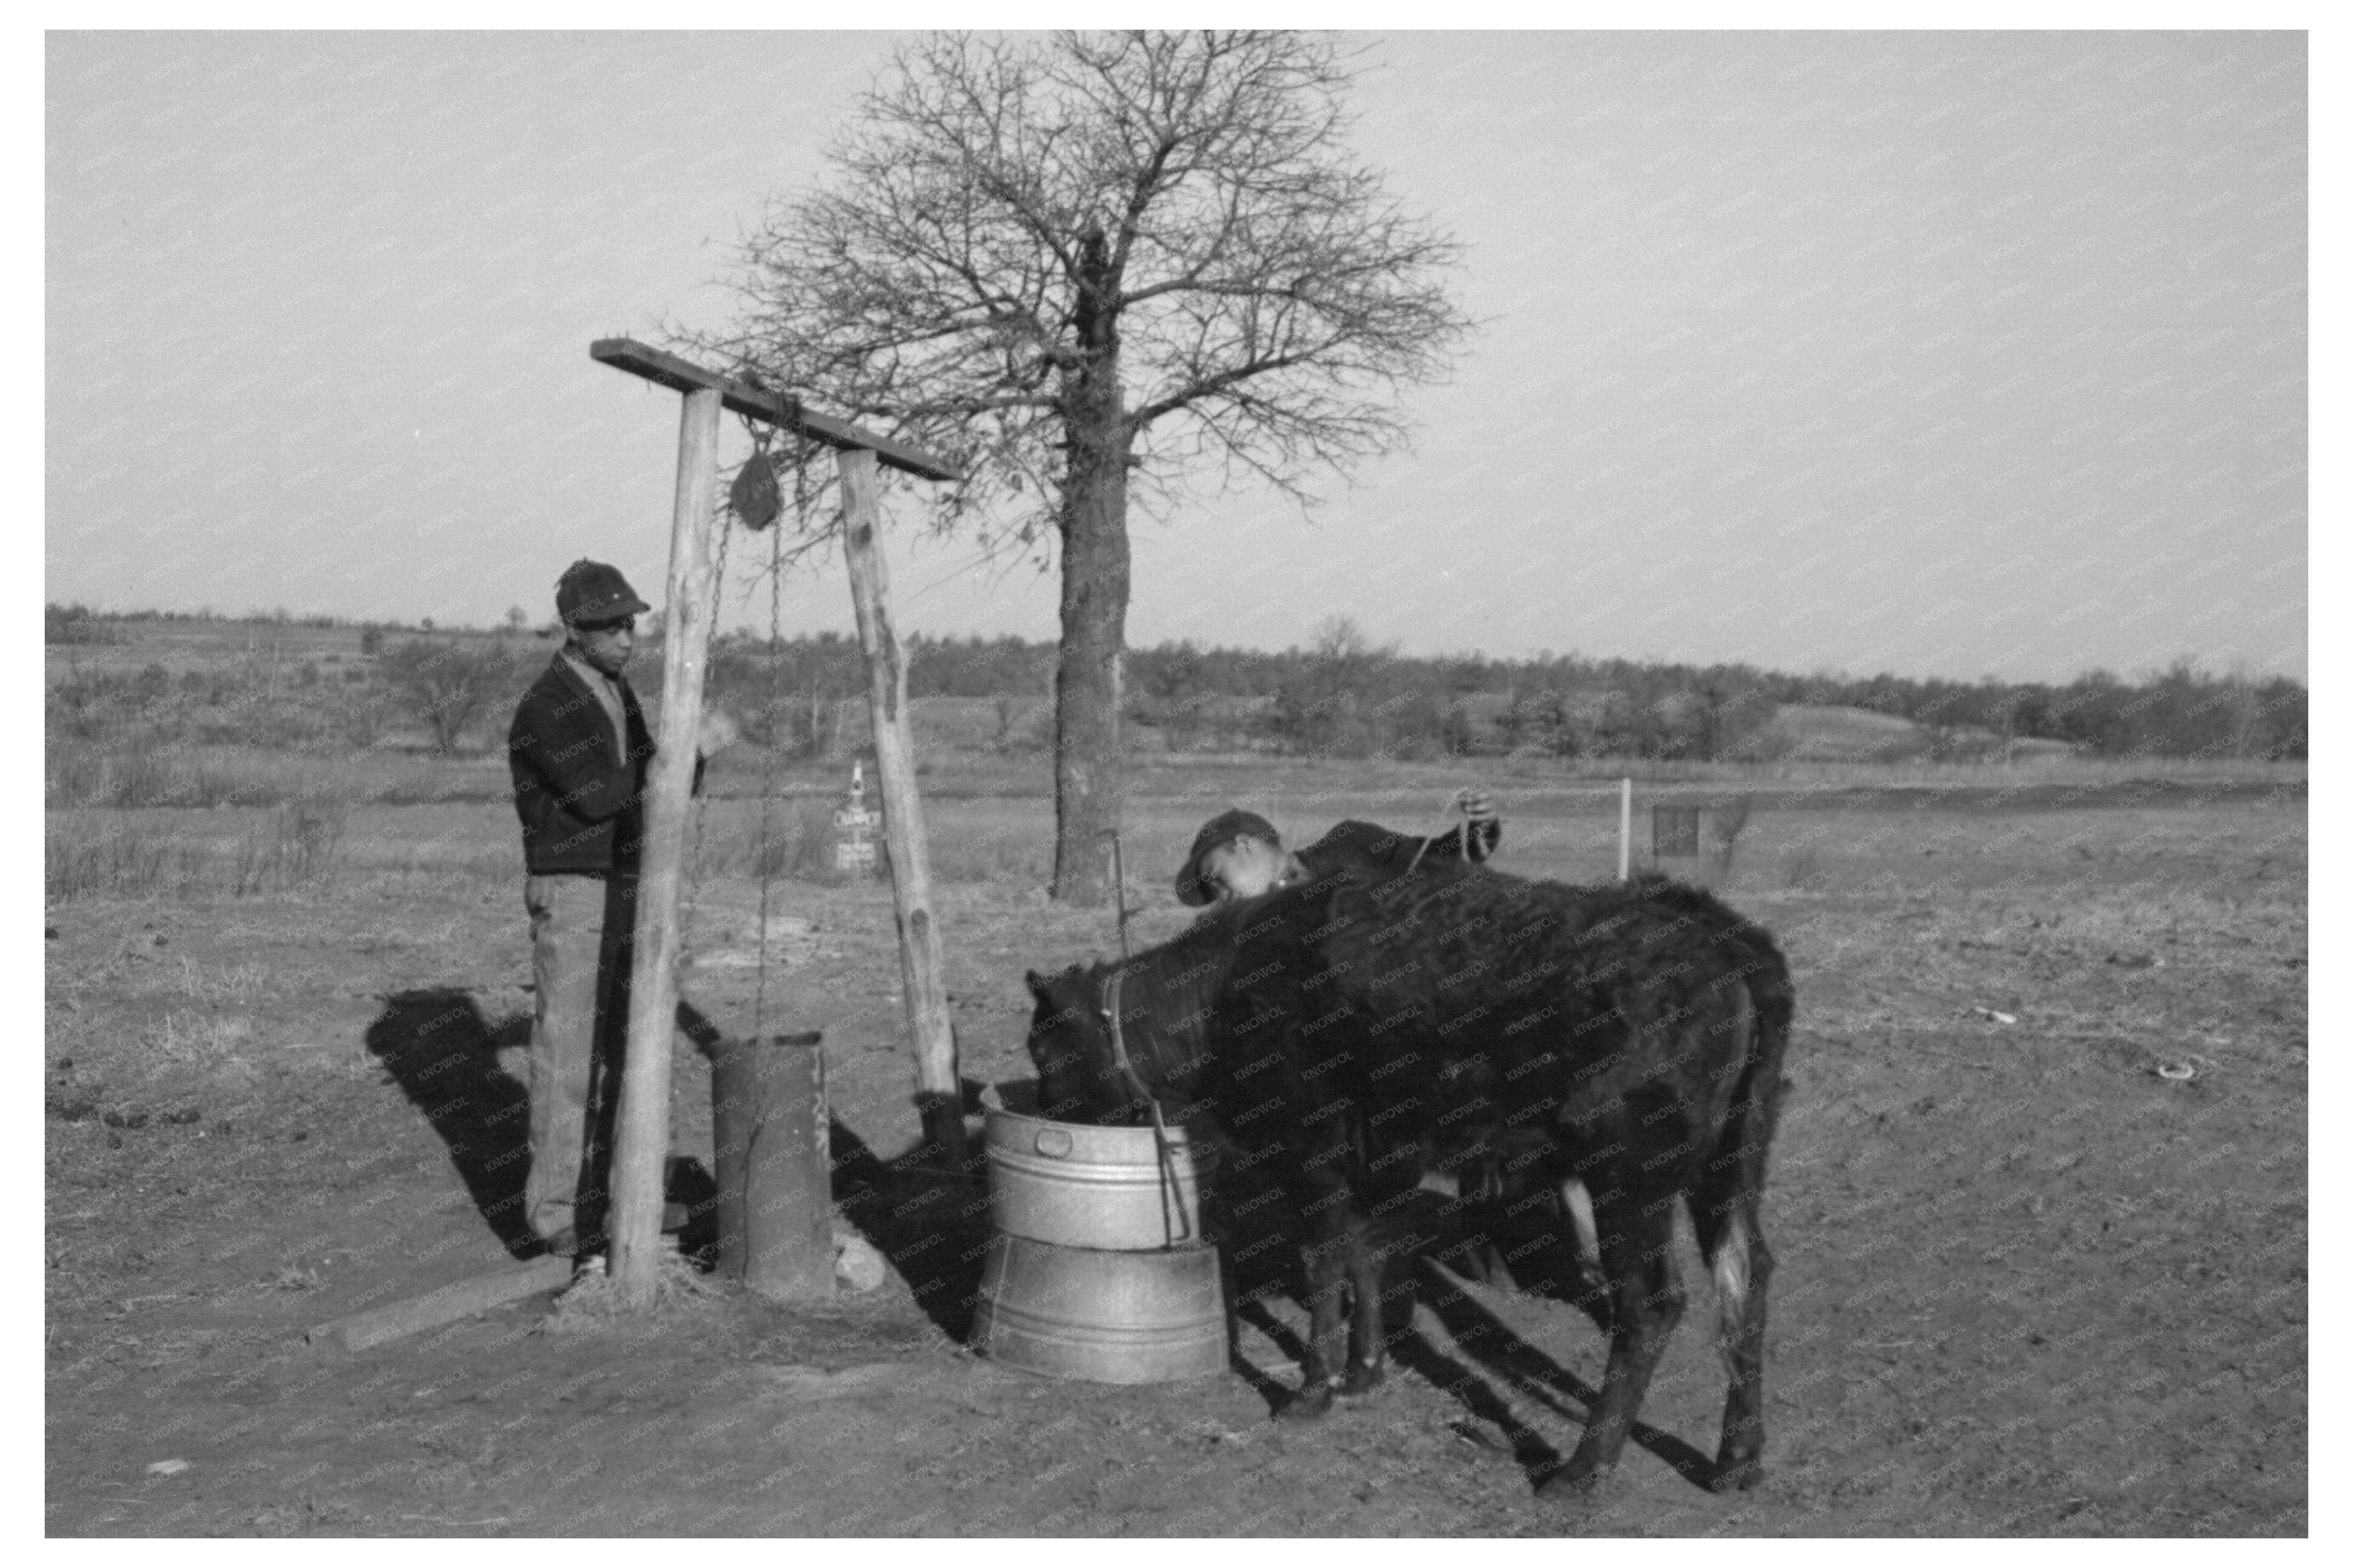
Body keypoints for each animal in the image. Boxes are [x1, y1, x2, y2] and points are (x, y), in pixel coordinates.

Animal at [1024, 868, 1792, 1496]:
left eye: (1043, 1048)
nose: (1048, 1118)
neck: (1225, 992)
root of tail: (1725, 941)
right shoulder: (1375, 1160)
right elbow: (1367, 1253)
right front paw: (1365, 1369)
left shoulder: (1313, 1154)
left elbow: (1323, 1262)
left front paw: (1312, 1389)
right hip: (1731, 1167)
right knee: (1746, 1273)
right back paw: (1737, 1459)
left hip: (1629, 1176)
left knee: (1652, 1302)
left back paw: (1583, 1469)